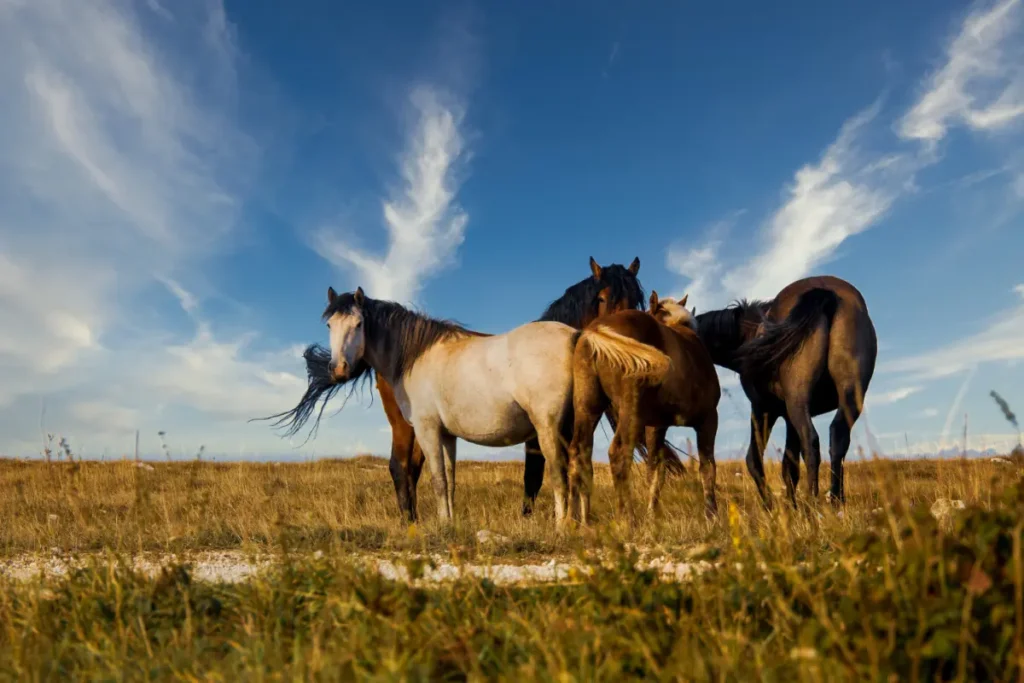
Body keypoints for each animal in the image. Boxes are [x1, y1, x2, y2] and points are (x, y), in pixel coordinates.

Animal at [301, 286, 585, 528]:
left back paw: (562, 526)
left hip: (547, 428)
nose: (339, 370)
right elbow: (449, 481)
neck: (415, 357)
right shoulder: (448, 435)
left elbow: (437, 480)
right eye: (330, 324)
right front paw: (449, 521)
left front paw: (441, 524)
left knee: (559, 473)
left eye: (358, 324)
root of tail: (573, 335)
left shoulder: (427, 430)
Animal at [569, 290, 720, 528]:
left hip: (587, 407)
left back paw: (579, 521)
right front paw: (712, 516)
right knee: (619, 454)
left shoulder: (656, 426)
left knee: (579, 453)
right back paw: (627, 519)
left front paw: (652, 515)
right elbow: (707, 468)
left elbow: (655, 471)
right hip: (631, 412)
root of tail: (596, 330)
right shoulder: (709, 420)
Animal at [696, 276, 880, 507]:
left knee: (811, 443)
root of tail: (824, 292)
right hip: (848, 398)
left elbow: (755, 459)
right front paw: (791, 506)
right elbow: (789, 466)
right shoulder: (787, 418)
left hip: (797, 402)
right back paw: (836, 501)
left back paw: (812, 503)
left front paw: (772, 506)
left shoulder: (764, 409)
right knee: (838, 438)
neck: (749, 334)